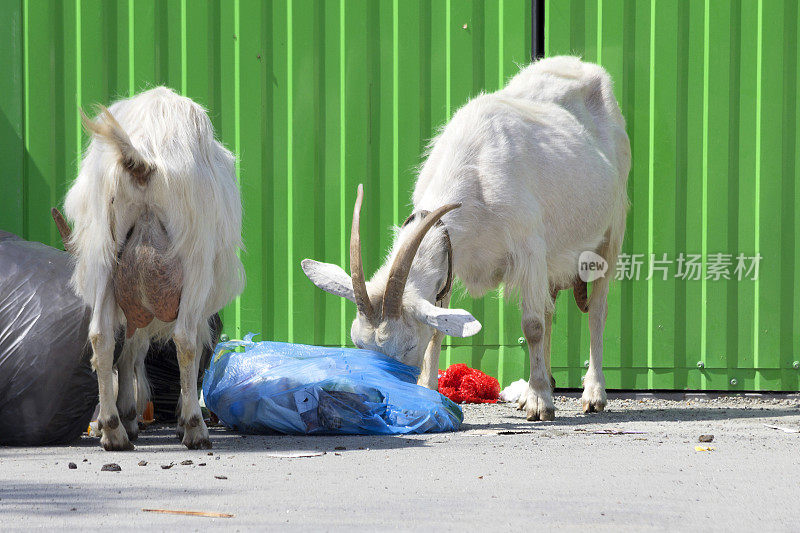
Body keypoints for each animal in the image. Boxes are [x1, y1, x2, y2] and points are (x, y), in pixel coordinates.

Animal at [59, 87, 244, 448]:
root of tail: (142, 159)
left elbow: (132, 347)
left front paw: (130, 416)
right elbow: (193, 343)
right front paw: (181, 419)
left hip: (103, 253)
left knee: (101, 336)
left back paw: (113, 431)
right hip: (194, 254)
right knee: (185, 339)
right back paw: (195, 429)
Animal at [304, 57, 632, 420]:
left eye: (407, 345)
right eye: (360, 345)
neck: (474, 176)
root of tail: (582, 66)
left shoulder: (529, 249)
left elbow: (532, 325)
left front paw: (540, 404)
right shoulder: (449, 259)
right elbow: (439, 329)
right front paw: (430, 391)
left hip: (611, 230)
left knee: (597, 310)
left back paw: (592, 394)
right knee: (549, 307)